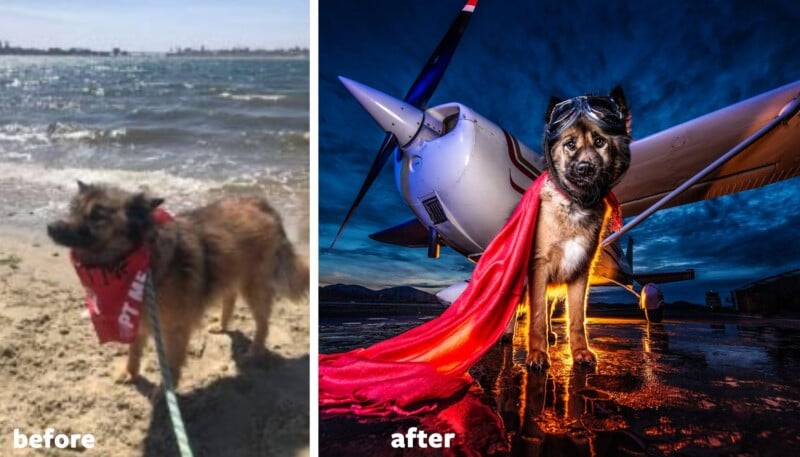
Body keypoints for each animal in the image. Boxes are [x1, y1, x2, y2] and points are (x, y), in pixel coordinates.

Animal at [47, 182, 310, 384]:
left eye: (97, 216)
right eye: (73, 209)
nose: (50, 227)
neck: (137, 260)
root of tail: (260, 203)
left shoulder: (175, 330)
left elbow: (171, 366)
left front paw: (164, 400)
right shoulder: (138, 319)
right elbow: (134, 351)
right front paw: (130, 373)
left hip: (254, 284)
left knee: (262, 321)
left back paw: (254, 350)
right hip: (231, 271)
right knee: (230, 296)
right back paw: (222, 325)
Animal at [524, 86, 632, 370]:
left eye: (600, 141)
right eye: (570, 144)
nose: (585, 168)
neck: (575, 205)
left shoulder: (579, 272)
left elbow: (576, 319)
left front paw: (581, 352)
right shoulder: (538, 266)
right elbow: (536, 316)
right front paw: (537, 354)